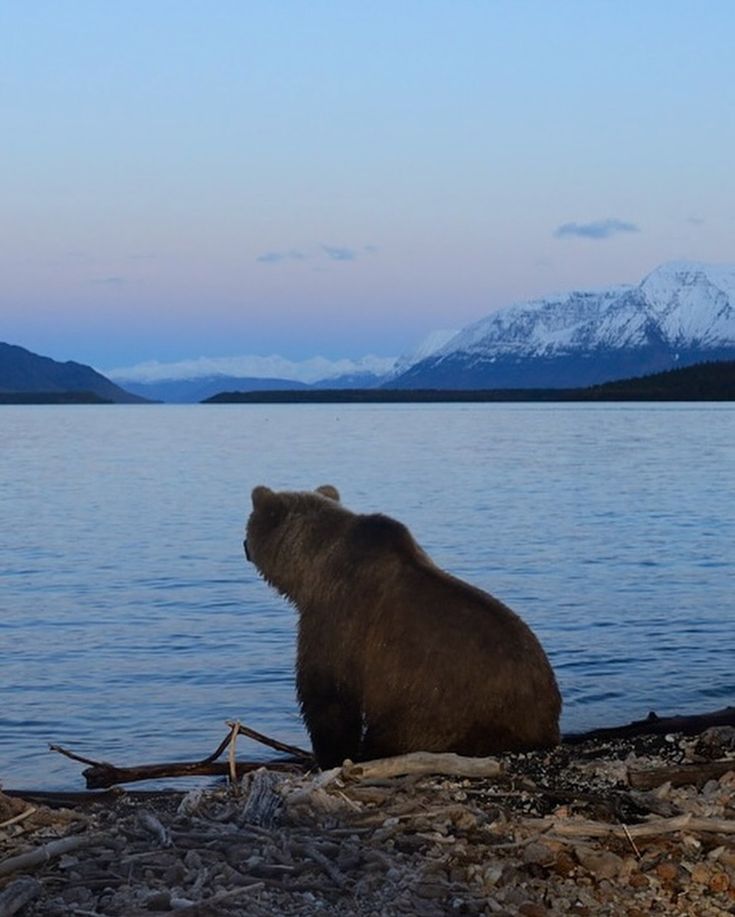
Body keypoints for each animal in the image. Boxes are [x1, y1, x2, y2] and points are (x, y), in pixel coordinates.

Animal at [244, 484, 560, 768]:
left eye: (248, 528)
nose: (244, 546)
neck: (313, 570)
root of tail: (549, 726)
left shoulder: (337, 619)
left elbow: (328, 695)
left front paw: (329, 756)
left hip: (442, 711)